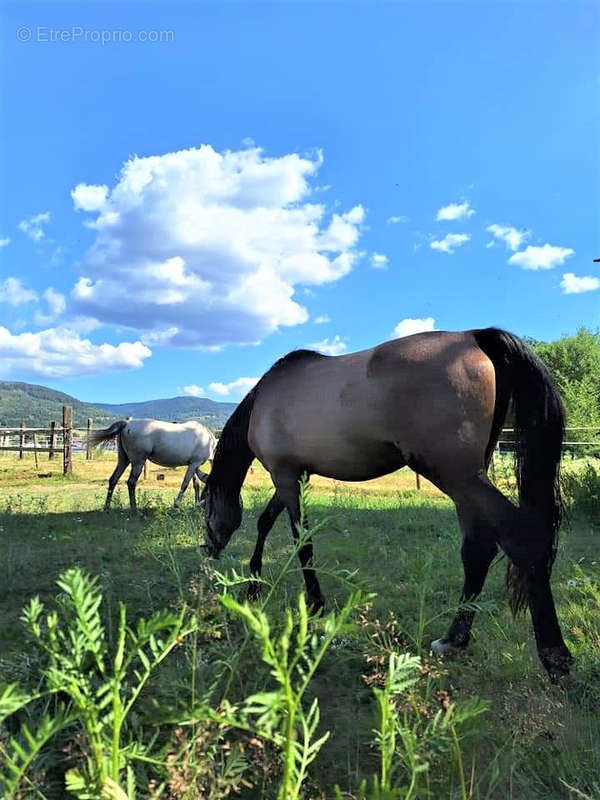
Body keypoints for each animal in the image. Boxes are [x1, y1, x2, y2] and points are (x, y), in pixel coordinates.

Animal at [200, 328, 572, 680]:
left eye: (205, 508)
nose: (209, 549)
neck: (264, 400)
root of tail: (474, 336)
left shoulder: (286, 476)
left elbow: (301, 541)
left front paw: (315, 603)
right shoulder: (294, 477)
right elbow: (266, 521)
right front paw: (253, 585)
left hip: (456, 476)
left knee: (518, 539)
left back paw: (556, 658)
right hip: (465, 481)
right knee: (477, 549)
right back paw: (453, 640)